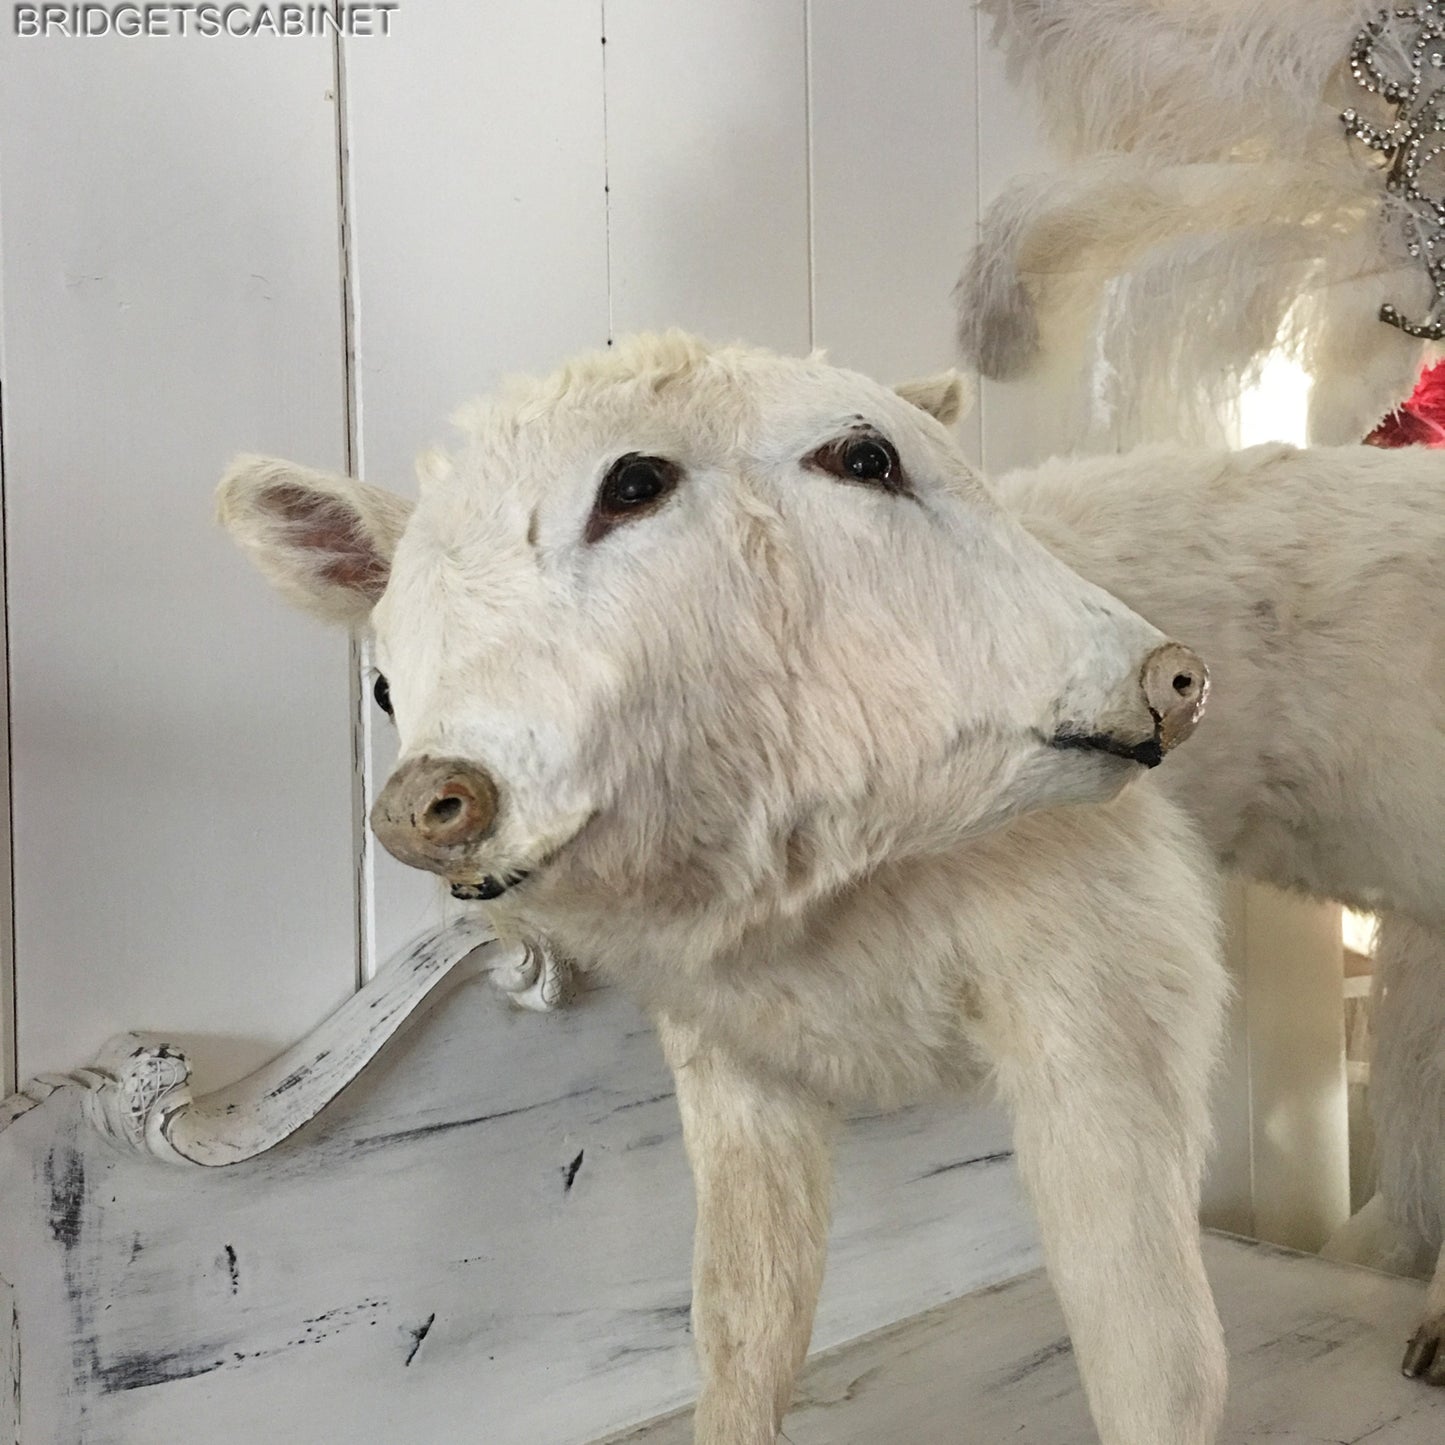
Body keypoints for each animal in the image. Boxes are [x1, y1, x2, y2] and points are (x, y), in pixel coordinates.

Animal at [219, 333, 1229, 1445]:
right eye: (382, 686)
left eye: (633, 483)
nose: (423, 802)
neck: (836, 888)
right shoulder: (734, 1063)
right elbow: (745, 1314)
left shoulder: (1111, 1004)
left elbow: (1150, 1349)